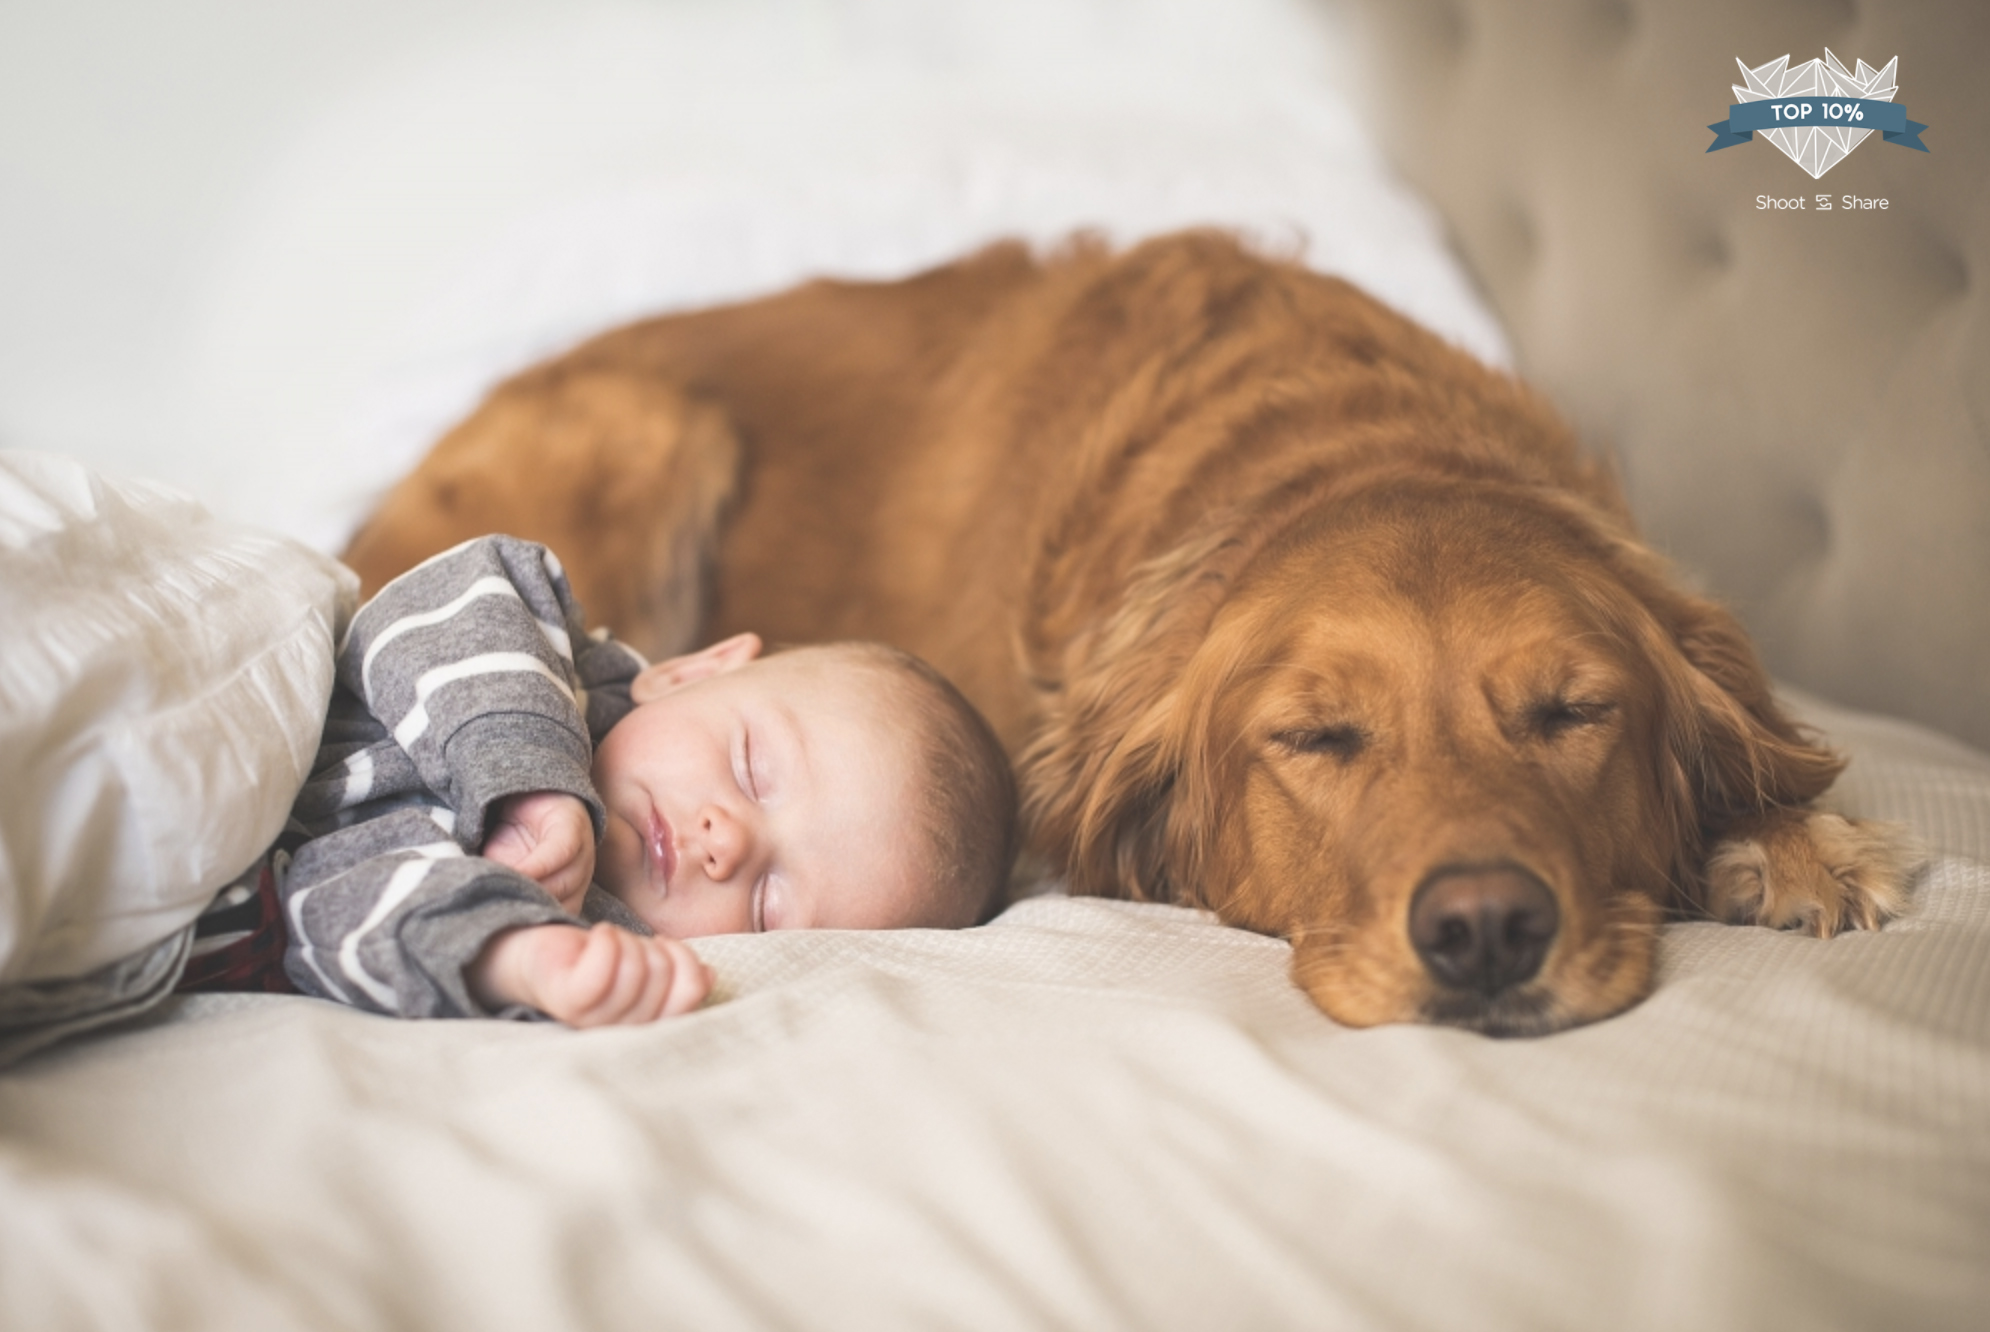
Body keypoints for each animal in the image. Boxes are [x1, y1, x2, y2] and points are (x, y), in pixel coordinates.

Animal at [350, 233, 1918, 1035]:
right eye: (1315, 737)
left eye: (1573, 715)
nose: (1484, 930)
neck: (1335, 448)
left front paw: (1793, 844)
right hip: (636, 423)